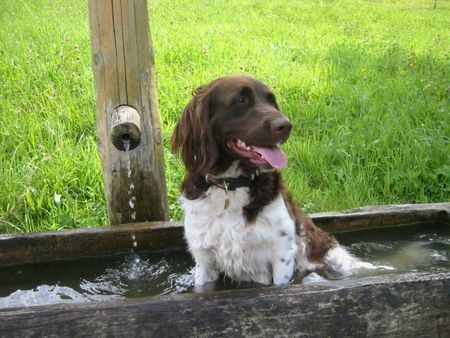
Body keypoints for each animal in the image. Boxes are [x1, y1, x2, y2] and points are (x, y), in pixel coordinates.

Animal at [172, 75, 370, 286]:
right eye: (242, 100)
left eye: (272, 101)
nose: (286, 125)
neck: (231, 186)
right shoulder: (204, 260)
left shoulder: (282, 254)